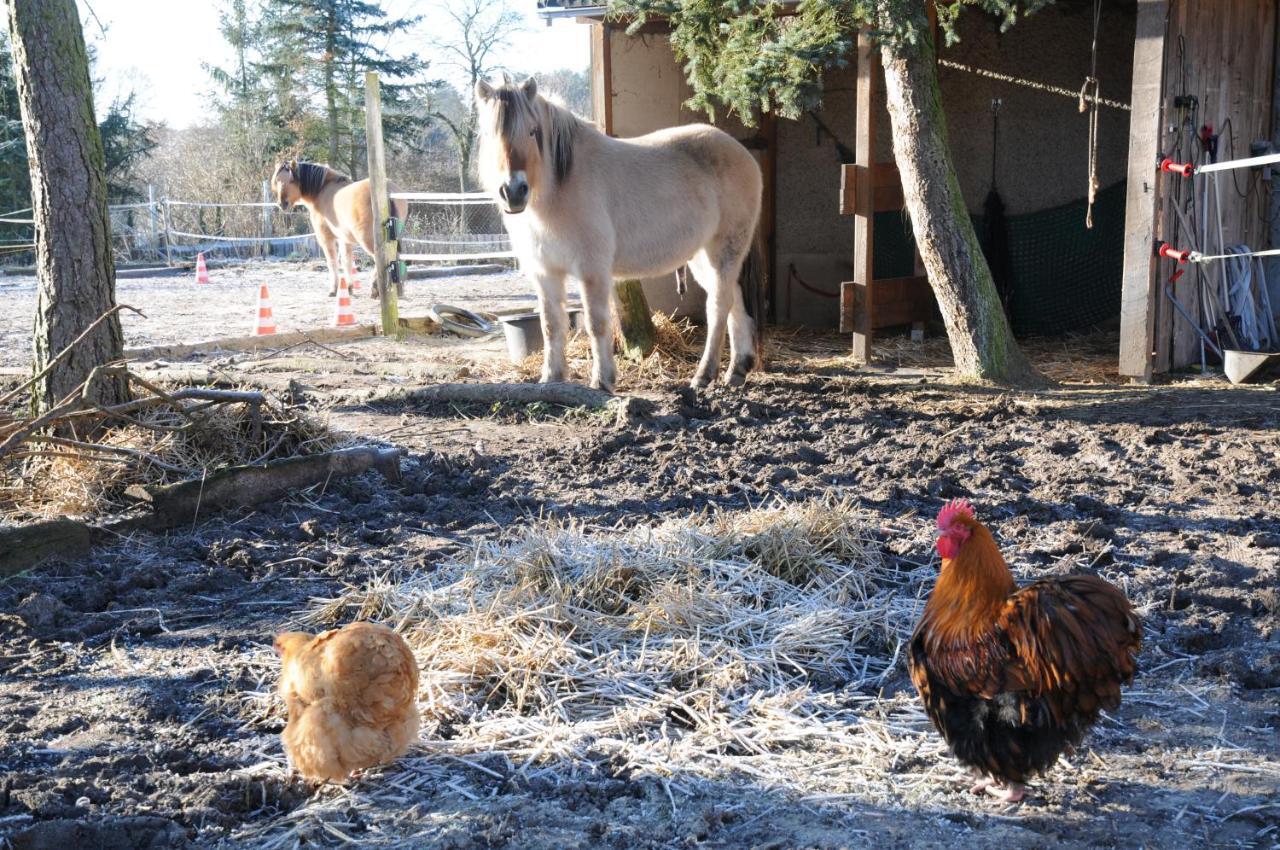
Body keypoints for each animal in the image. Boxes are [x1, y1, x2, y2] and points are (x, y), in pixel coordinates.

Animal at [271, 161, 407, 296]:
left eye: (291, 180)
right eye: (277, 180)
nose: (282, 204)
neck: (322, 190)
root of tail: (387, 191)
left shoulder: (326, 239)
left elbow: (332, 262)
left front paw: (333, 289)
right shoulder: (344, 239)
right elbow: (346, 261)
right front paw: (349, 288)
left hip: (369, 241)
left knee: (381, 259)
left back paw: (375, 289)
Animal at [478, 78, 757, 389]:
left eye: (531, 131)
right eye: (488, 133)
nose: (513, 191)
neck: (558, 188)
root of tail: (743, 154)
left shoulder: (592, 270)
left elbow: (596, 324)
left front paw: (602, 380)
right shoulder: (545, 273)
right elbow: (550, 325)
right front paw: (551, 378)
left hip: (724, 250)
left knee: (718, 306)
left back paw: (704, 375)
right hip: (702, 257)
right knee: (733, 299)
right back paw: (738, 370)